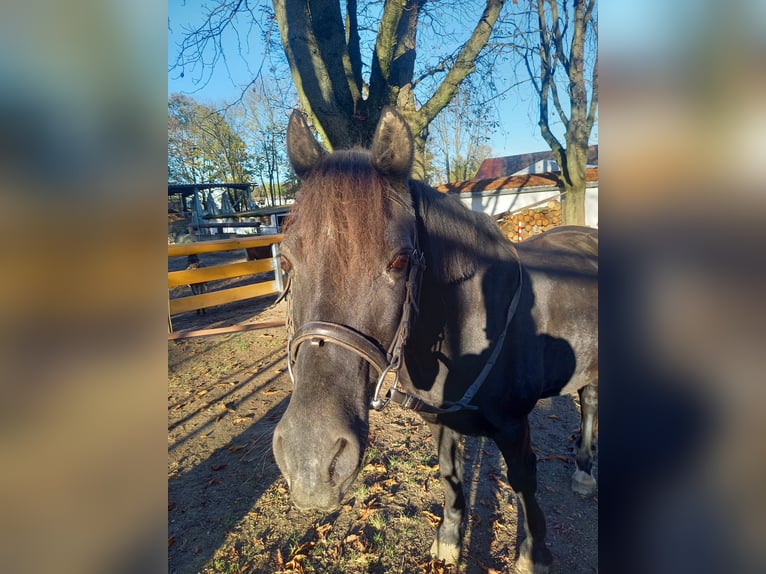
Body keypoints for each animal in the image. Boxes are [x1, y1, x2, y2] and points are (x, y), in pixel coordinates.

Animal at [272, 109, 600, 574]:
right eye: (285, 261)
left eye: (399, 262)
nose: (312, 460)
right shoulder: (440, 421)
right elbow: (450, 475)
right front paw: (448, 540)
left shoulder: (514, 425)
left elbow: (524, 482)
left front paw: (533, 553)